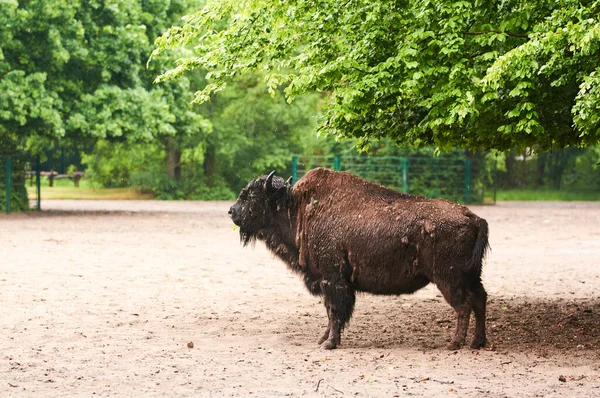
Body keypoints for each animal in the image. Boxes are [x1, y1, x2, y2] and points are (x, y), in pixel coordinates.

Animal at [227, 169, 490, 352]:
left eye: (251, 194)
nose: (231, 211)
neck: (298, 208)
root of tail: (472, 217)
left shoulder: (333, 279)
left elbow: (335, 310)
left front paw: (329, 343)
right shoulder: (328, 281)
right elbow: (331, 312)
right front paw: (323, 339)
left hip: (448, 278)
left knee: (464, 305)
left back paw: (454, 344)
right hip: (472, 275)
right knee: (480, 300)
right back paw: (477, 342)